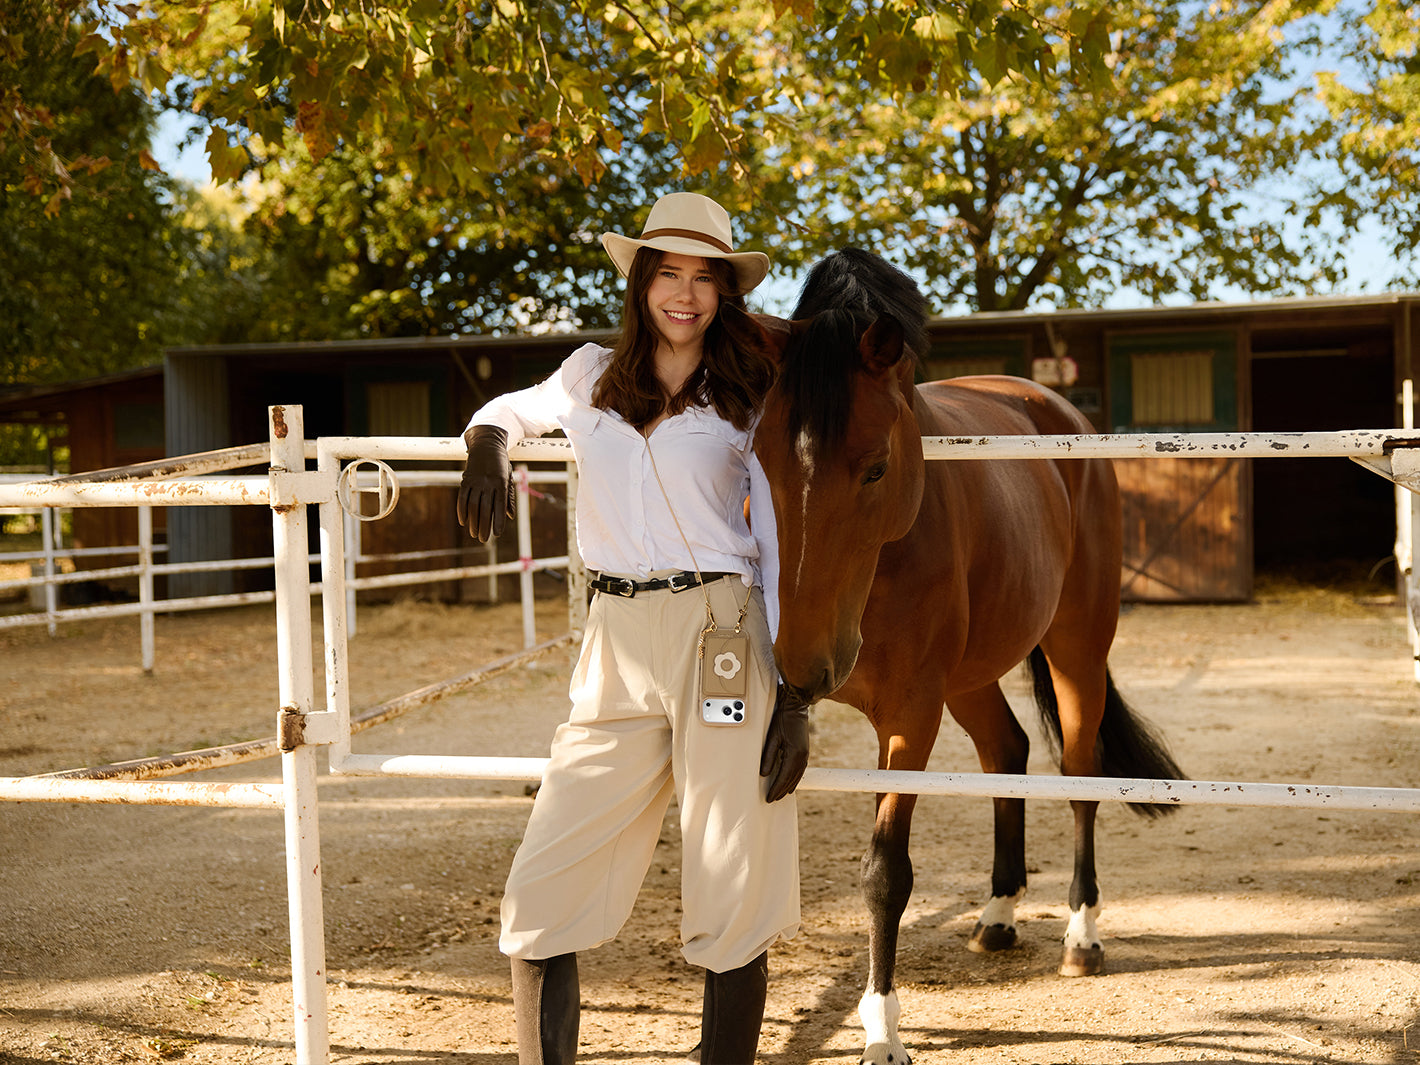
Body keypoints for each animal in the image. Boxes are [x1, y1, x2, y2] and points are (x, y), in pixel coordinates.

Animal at [747, 248, 1184, 1065]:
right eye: (758, 461)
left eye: (875, 466)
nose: (807, 662)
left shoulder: (909, 715)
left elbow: (885, 874)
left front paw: (883, 1027)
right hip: (971, 677)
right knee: (1006, 750)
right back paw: (998, 914)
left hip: (1076, 647)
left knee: (1079, 773)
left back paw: (1082, 934)